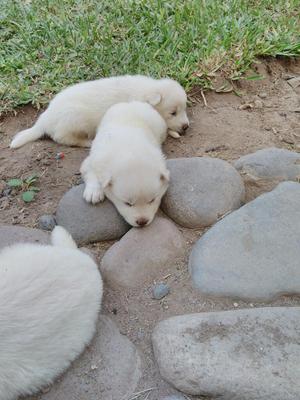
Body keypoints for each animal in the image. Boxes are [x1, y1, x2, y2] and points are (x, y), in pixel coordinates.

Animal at [10, 74, 189, 148]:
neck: (145, 92)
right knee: (64, 138)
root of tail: (44, 120)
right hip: (74, 121)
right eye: (173, 113)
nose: (186, 126)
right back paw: (87, 142)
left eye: (184, 109)